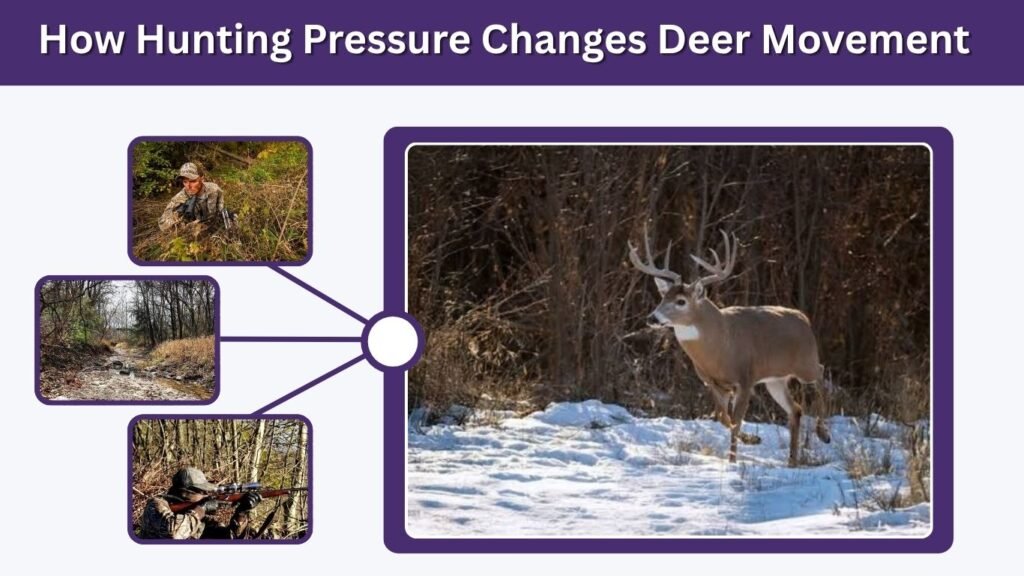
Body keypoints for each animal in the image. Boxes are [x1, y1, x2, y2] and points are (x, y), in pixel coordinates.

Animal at [629, 227, 831, 467]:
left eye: (681, 301)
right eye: (662, 297)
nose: (652, 318)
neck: (721, 346)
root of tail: (804, 319)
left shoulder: (745, 378)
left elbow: (736, 420)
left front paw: (733, 461)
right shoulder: (713, 382)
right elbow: (724, 419)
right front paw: (752, 439)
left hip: (805, 362)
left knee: (821, 374)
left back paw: (824, 434)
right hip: (775, 380)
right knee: (796, 410)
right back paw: (792, 461)